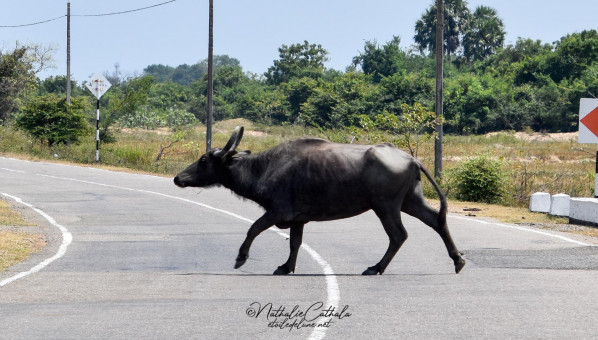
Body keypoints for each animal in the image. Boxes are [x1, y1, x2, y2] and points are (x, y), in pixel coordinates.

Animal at [173, 126, 464, 274]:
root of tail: (411, 158)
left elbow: (253, 228)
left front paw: (241, 258)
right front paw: (286, 266)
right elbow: (295, 243)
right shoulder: (298, 219)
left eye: (203, 160)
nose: (178, 178)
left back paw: (376, 267)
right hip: (410, 201)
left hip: (386, 206)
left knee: (399, 235)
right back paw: (458, 260)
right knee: (436, 221)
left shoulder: (278, 213)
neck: (263, 168)